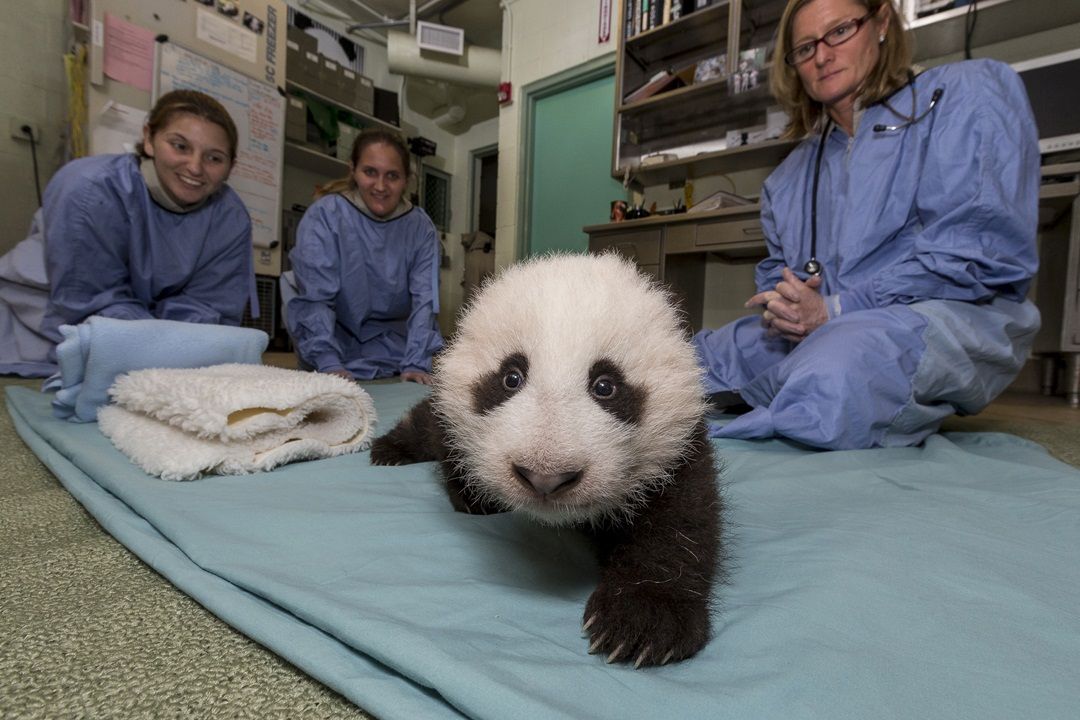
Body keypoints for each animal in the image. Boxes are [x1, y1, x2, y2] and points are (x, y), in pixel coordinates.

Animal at [370, 252, 724, 668]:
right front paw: (474, 495)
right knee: (428, 420)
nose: (545, 477)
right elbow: (448, 440)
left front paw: (644, 619)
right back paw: (390, 449)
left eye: (606, 386)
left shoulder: (678, 446)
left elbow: (682, 518)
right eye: (511, 377)